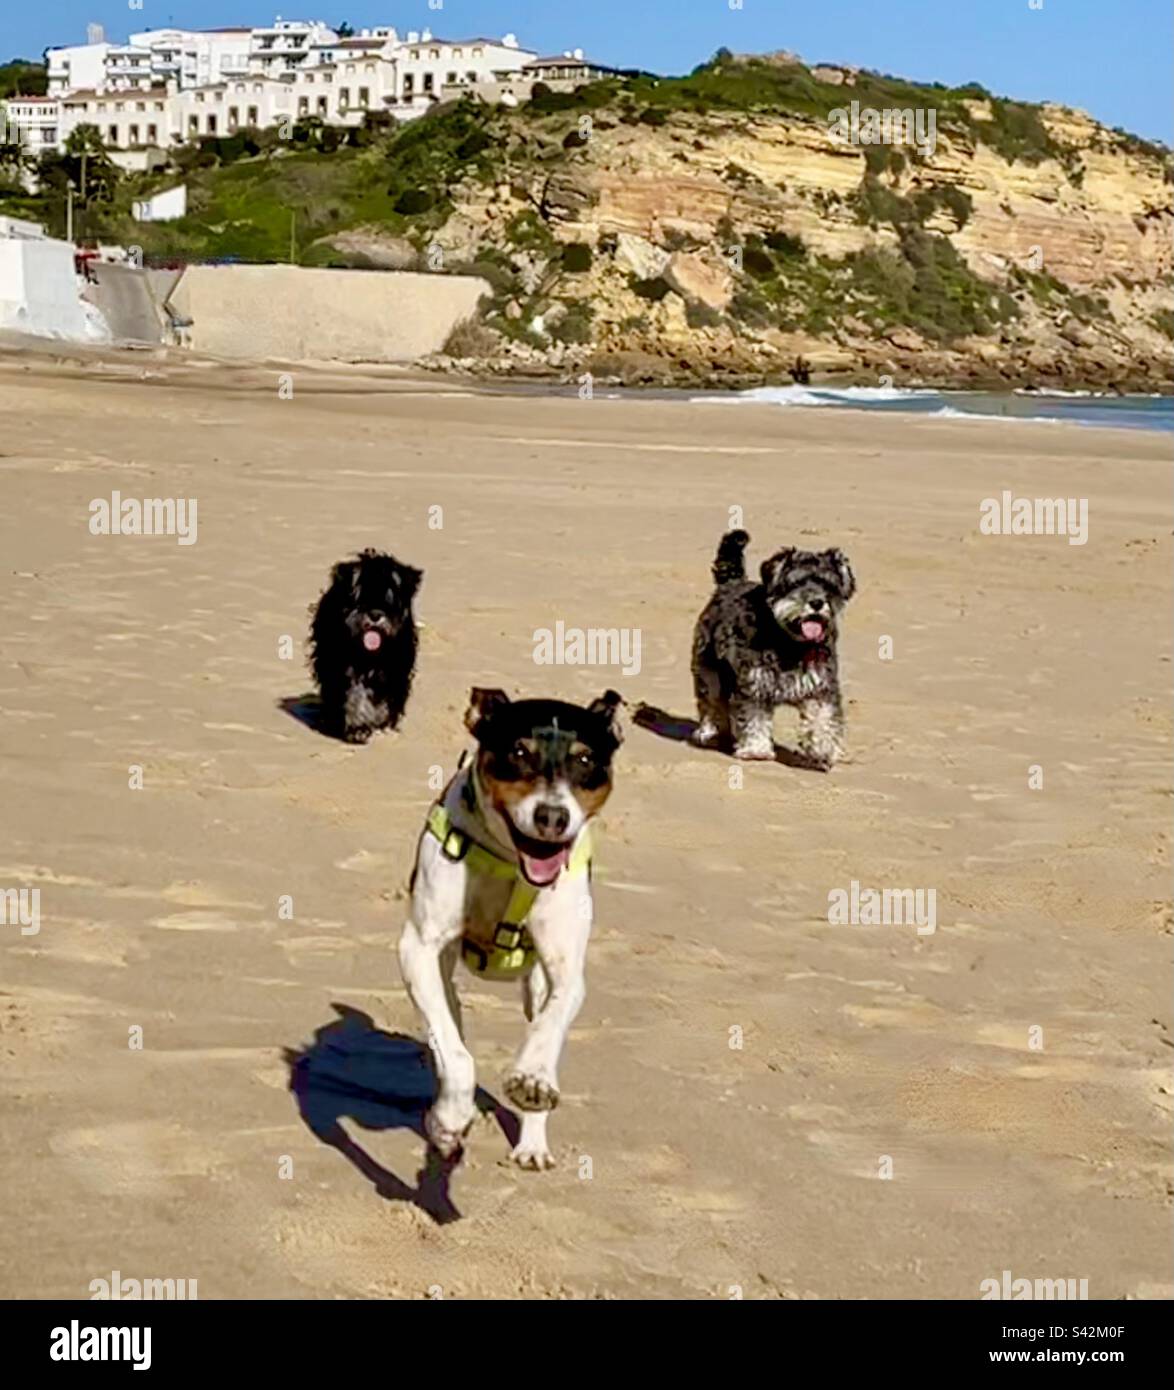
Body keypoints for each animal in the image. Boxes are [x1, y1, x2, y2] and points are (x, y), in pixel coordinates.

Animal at [309, 547, 422, 745]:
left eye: (390, 597)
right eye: (361, 596)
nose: (375, 615)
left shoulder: (395, 668)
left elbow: (385, 699)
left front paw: (382, 723)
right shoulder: (345, 667)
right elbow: (355, 695)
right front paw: (357, 729)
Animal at [397, 689, 622, 1167]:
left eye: (585, 759)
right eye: (518, 753)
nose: (552, 816)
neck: (510, 863)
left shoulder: (565, 970)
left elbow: (548, 1026)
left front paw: (533, 1079)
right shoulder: (418, 948)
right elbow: (456, 1055)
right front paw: (449, 1120)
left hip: (533, 982)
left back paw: (532, 1140)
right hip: (441, 974)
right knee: (450, 1030)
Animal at [691, 530, 855, 772]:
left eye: (829, 584)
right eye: (796, 582)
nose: (816, 602)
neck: (790, 642)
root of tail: (730, 584)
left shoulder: (821, 687)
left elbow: (823, 718)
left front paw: (824, 749)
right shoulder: (754, 683)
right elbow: (754, 717)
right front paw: (756, 749)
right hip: (709, 670)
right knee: (711, 701)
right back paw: (709, 732)